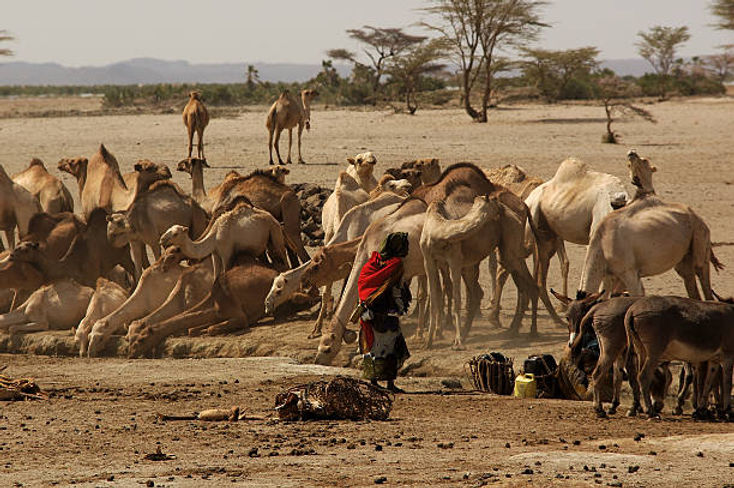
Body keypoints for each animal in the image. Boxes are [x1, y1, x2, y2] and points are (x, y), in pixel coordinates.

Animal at [159, 199, 288, 279]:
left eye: (175, 234)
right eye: (168, 230)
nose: (162, 239)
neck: (214, 237)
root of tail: (274, 218)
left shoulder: (227, 254)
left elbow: (225, 273)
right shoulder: (215, 255)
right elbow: (215, 276)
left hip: (275, 232)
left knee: (283, 257)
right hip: (266, 242)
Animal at [579, 150, 721, 298]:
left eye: (645, 160)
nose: (631, 152)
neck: (602, 242)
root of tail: (699, 218)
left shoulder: (629, 272)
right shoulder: (610, 275)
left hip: (700, 237)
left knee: (702, 272)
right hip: (684, 258)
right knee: (690, 281)